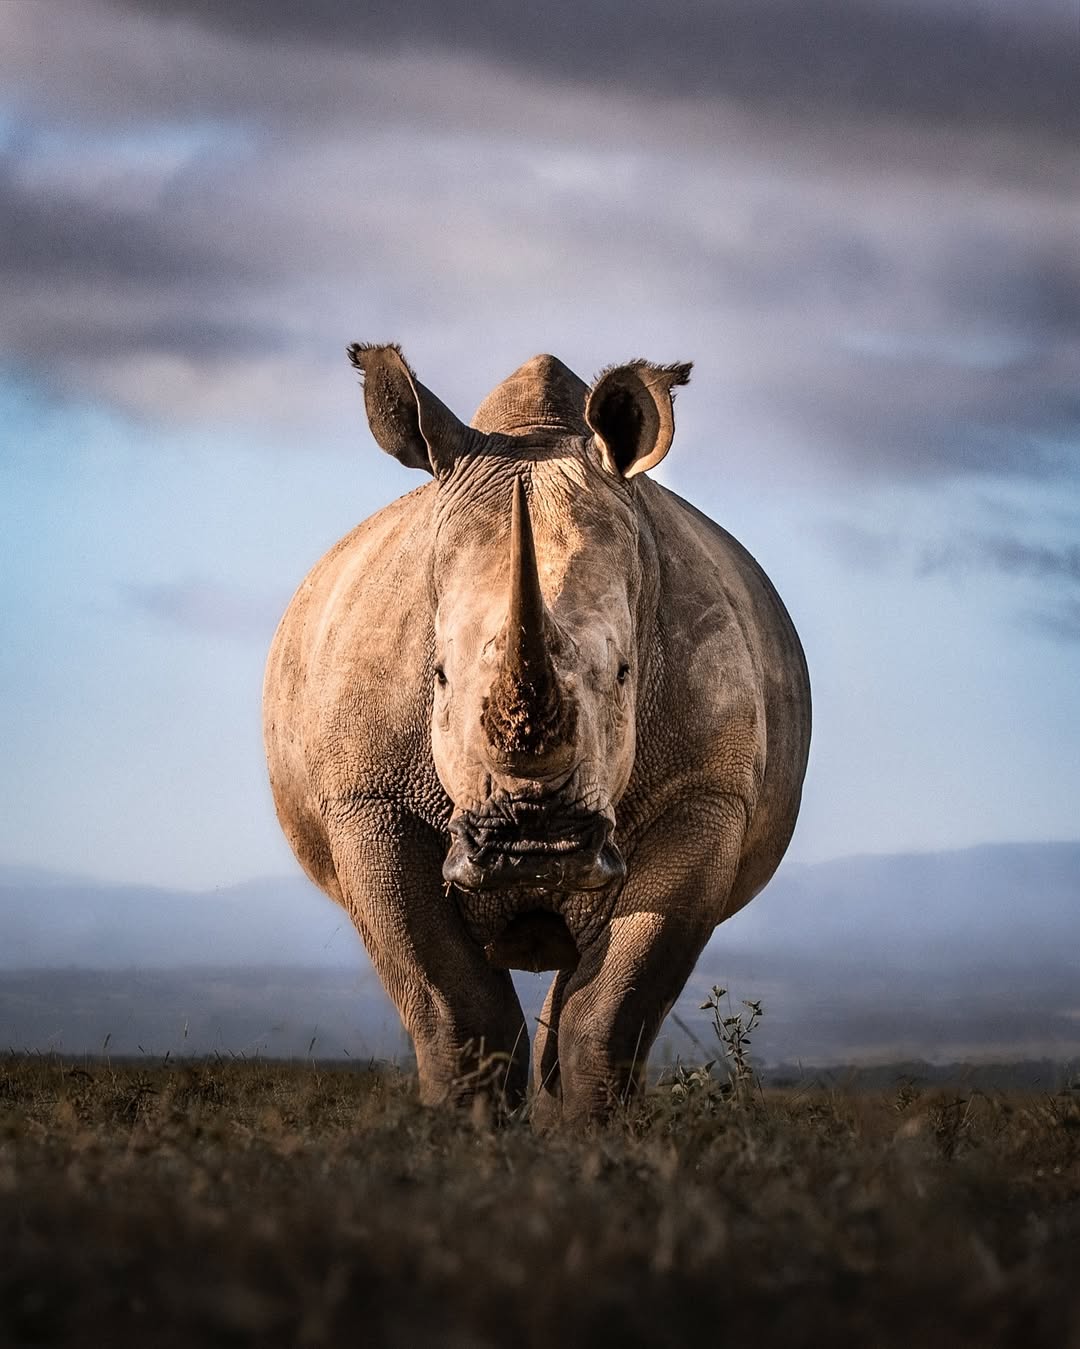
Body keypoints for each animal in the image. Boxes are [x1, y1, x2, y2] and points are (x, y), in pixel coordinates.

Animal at [263, 346, 810, 1126]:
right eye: (437, 676)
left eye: (624, 673)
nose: (534, 850)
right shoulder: (368, 799)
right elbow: (454, 1007)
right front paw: (465, 1133)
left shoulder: (705, 793)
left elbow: (612, 1008)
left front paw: (592, 1139)